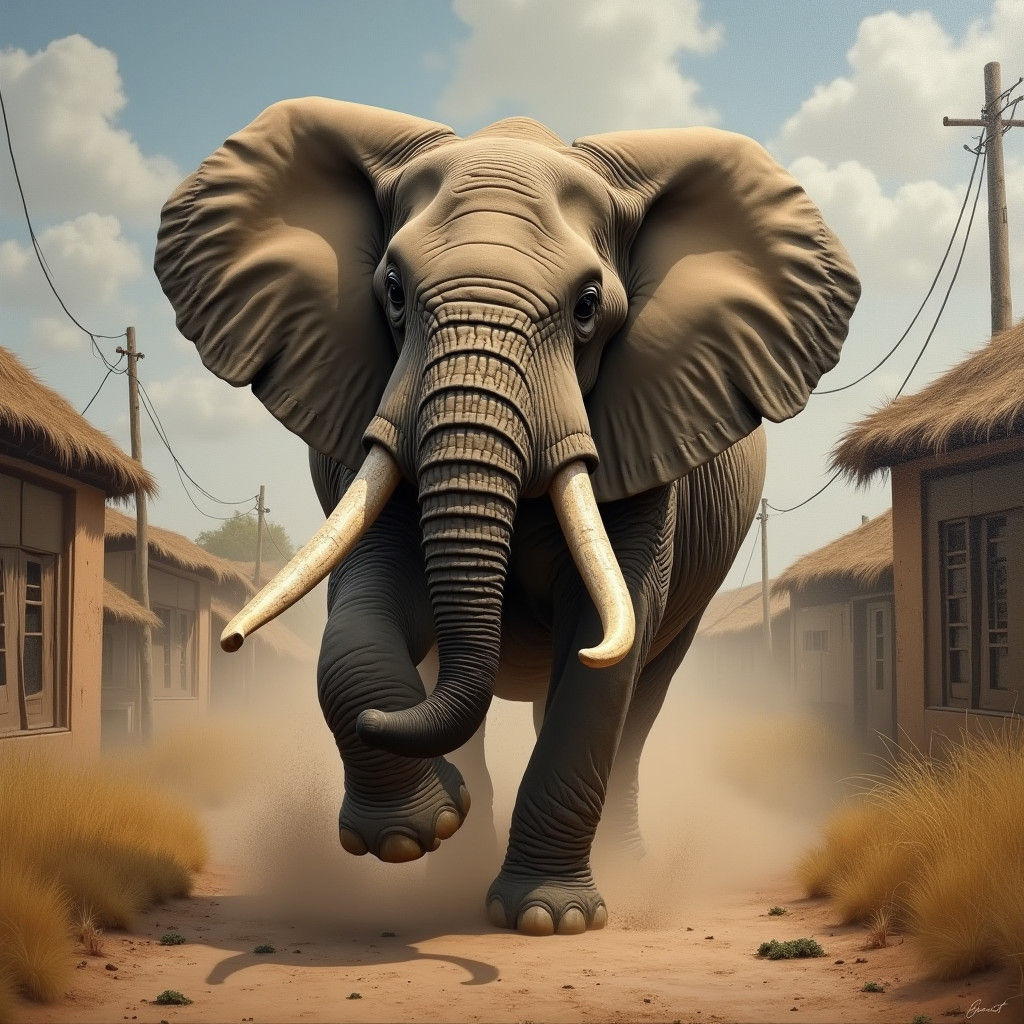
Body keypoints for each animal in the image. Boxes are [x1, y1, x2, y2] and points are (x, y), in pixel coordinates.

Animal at [154, 99, 859, 936]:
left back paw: (620, 869)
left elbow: (602, 646)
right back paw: (447, 862)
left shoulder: (648, 444)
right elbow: (366, 605)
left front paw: (550, 920)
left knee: (640, 698)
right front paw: (411, 834)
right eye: (393, 291)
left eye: (588, 307)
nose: (227, 642)